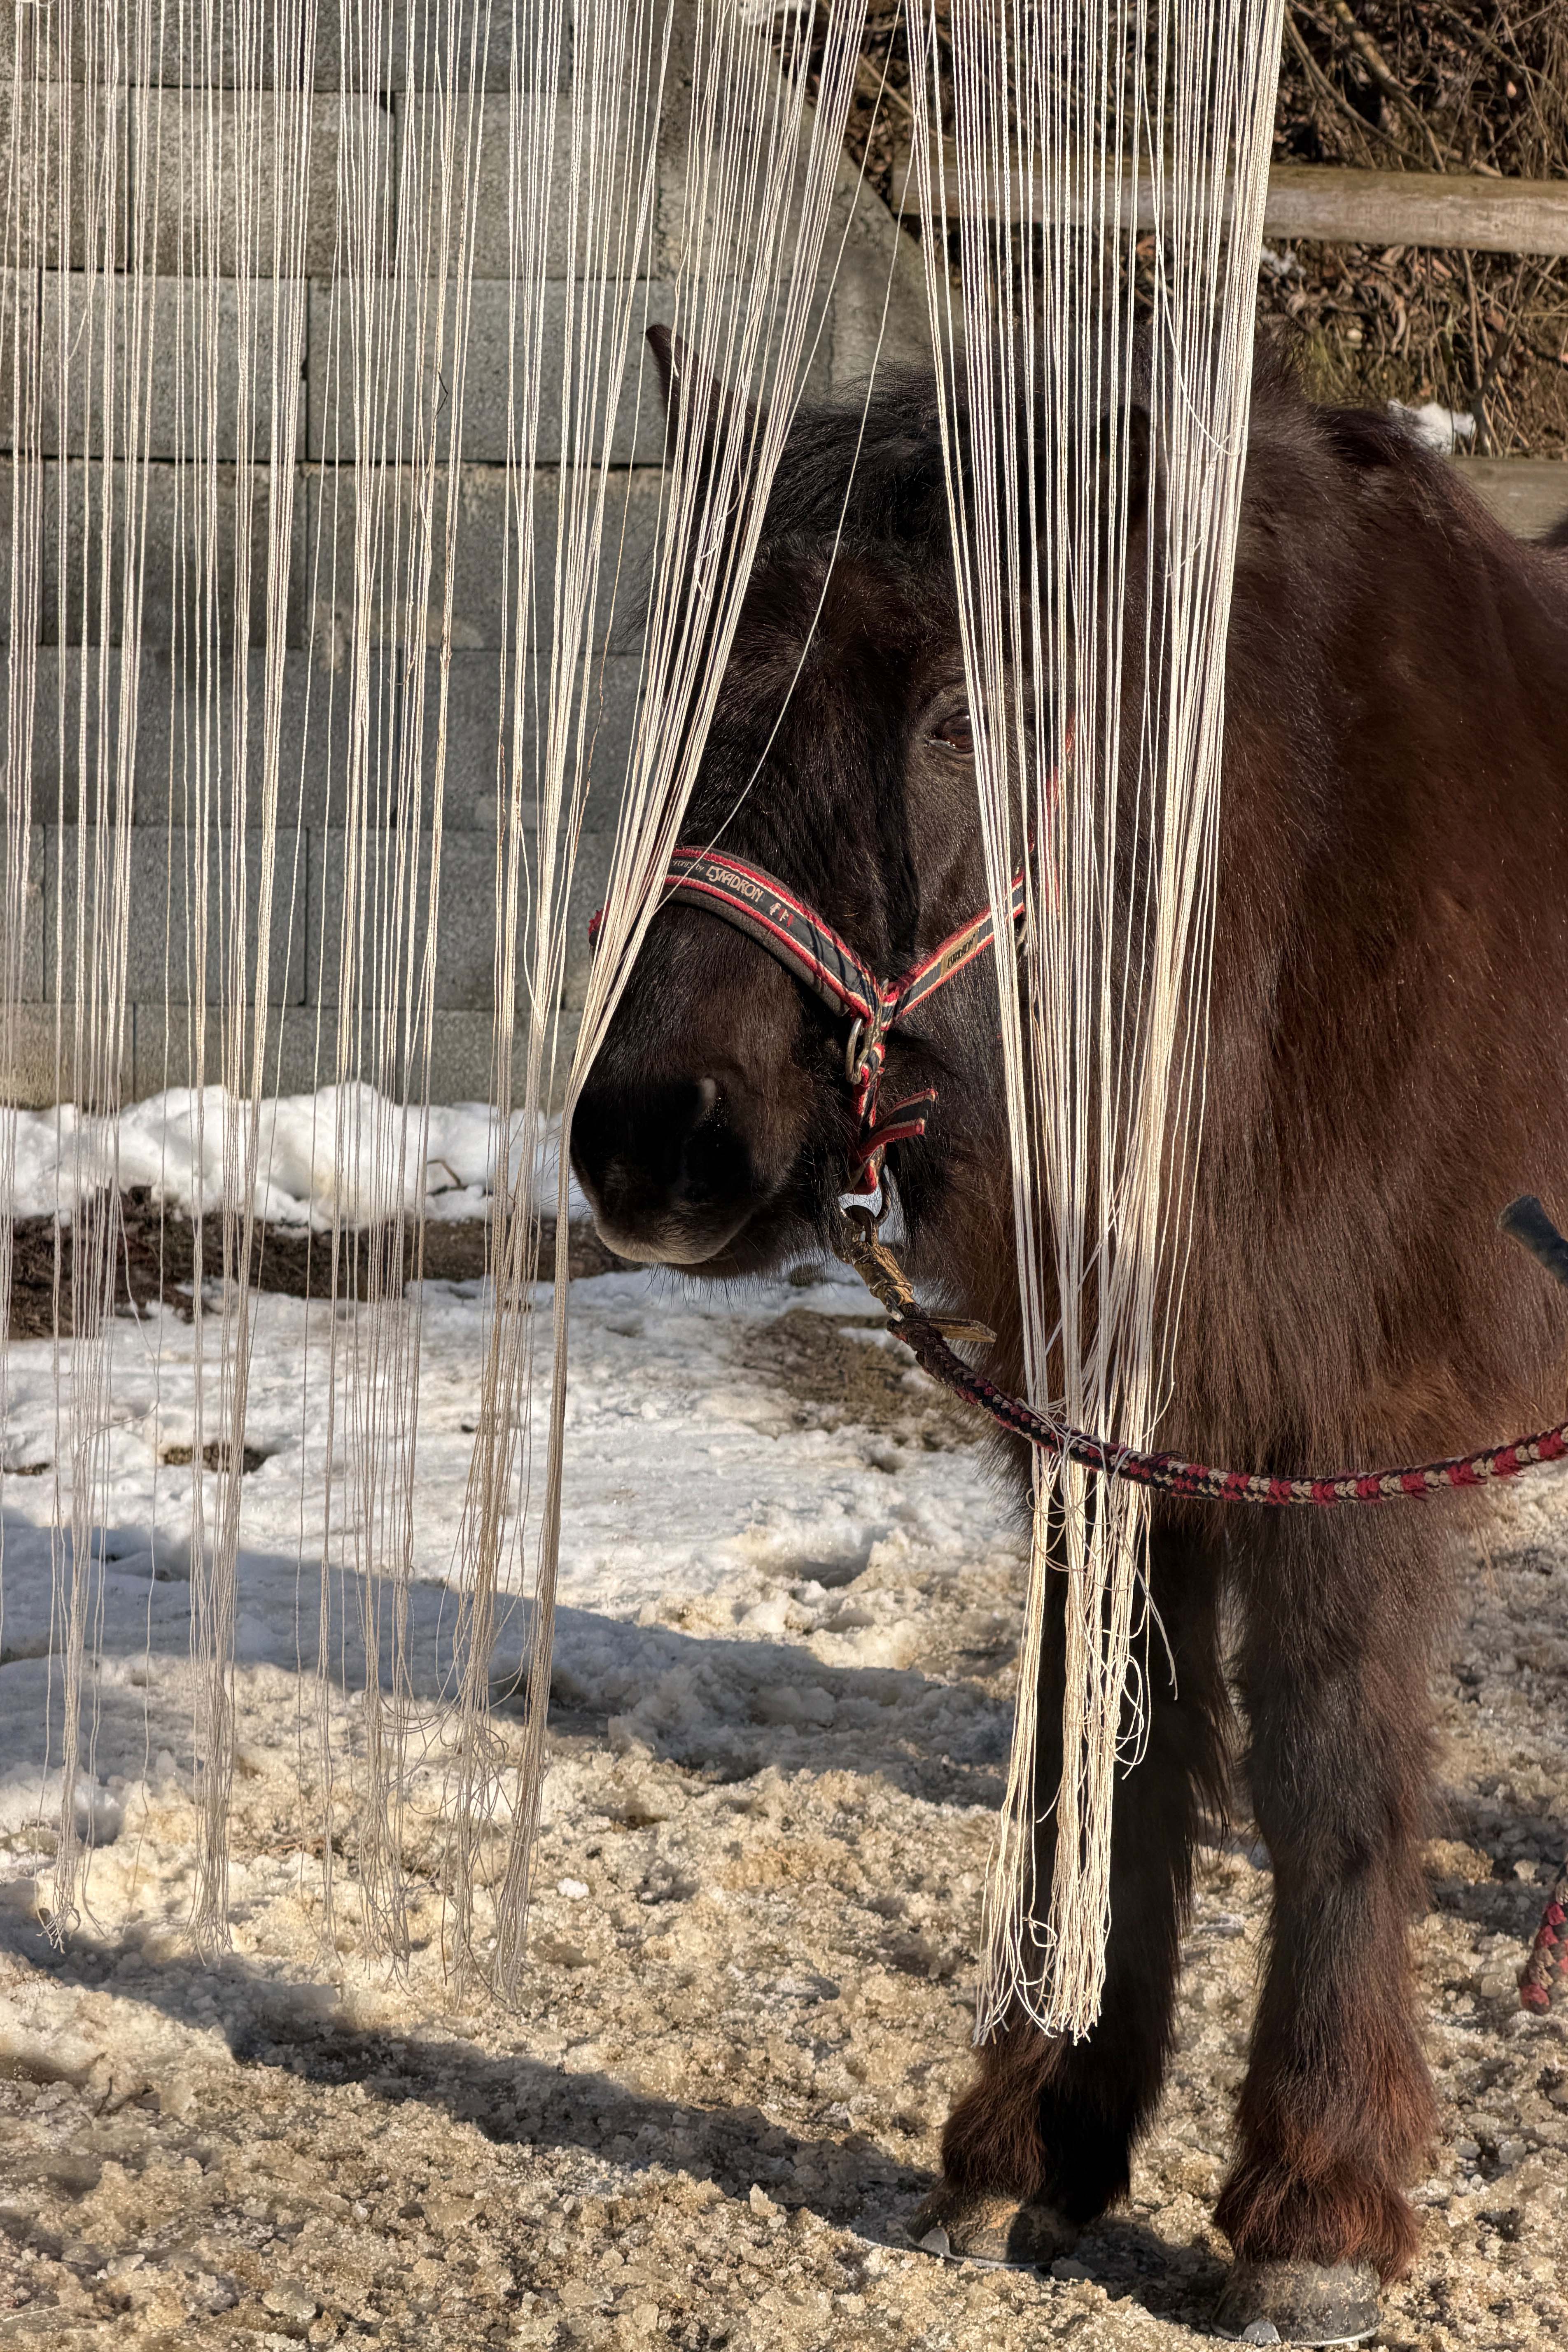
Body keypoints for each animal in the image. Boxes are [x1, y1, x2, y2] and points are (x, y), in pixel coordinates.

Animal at [570, 323, 1568, 2343]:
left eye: (961, 717)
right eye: (685, 692)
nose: (649, 1145)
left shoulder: (1351, 1436)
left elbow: (1332, 1776)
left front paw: (1313, 2209)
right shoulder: (1114, 1435)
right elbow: (1102, 1740)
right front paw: (1041, 2139)